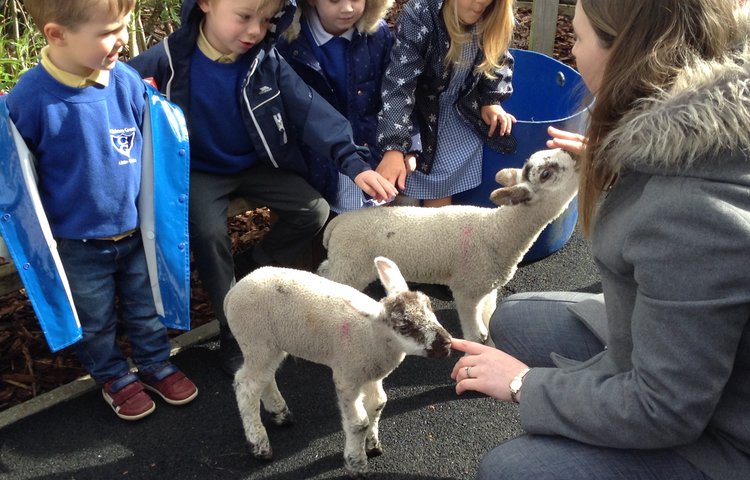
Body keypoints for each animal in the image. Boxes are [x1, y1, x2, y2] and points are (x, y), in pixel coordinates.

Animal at [225, 256, 452, 478]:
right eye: (404, 326)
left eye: (430, 307)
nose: (446, 343)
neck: (372, 335)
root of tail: (232, 294)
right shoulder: (348, 376)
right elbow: (359, 423)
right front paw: (357, 464)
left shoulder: (371, 373)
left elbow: (378, 404)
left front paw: (372, 445)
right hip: (255, 339)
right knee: (246, 385)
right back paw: (259, 445)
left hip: (272, 345)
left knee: (264, 378)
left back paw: (280, 414)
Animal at [318, 148, 580, 344]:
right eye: (546, 173)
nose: (575, 152)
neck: (497, 230)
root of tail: (338, 222)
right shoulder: (467, 291)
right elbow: (476, 335)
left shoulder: (488, 288)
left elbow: (491, 322)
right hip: (351, 267)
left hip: (345, 262)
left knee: (324, 270)